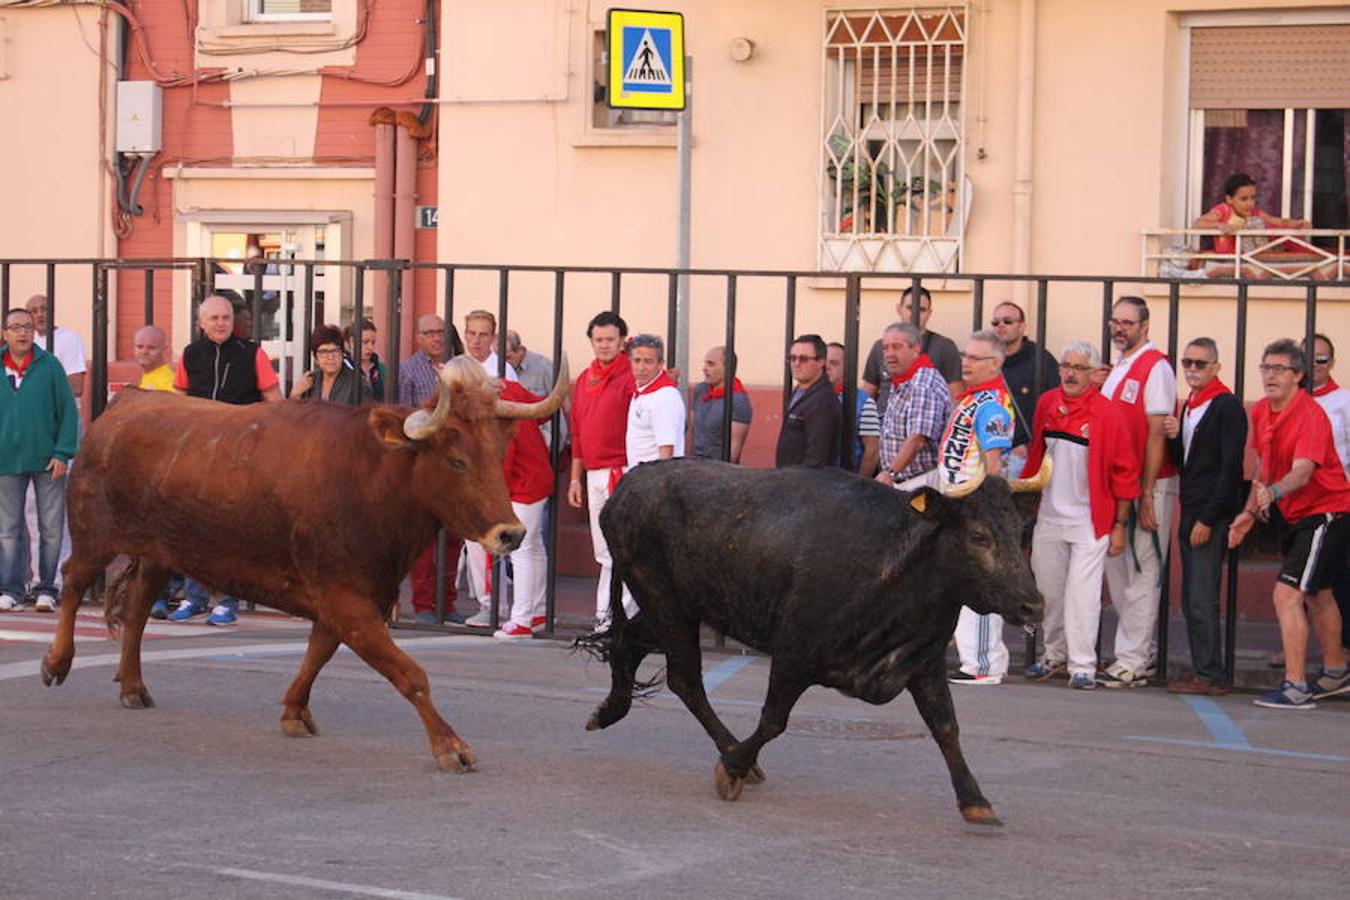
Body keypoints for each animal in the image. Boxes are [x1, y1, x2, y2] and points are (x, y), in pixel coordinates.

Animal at [38, 358, 564, 777]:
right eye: (455, 460)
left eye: (498, 454)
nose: (511, 534)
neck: (371, 477)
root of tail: (126, 402)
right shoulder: (346, 598)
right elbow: (409, 672)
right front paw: (450, 747)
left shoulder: (352, 597)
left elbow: (319, 653)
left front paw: (294, 710)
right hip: (93, 536)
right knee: (73, 584)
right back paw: (57, 662)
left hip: (159, 553)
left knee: (138, 609)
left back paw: (132, 684)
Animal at [588, 461, 1042, 825]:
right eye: (979, 536)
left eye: (1018, 530)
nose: (1033, 605)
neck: (893, 562)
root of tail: (629, 483)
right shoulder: (794, 654)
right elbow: (774, 720)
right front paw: (733, 767)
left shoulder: (923, 663)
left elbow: (946, 727)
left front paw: (975, 799)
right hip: (665, 601)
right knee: (685, 679)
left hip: (676, 608)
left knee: (630, 644)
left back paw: (610, 710)